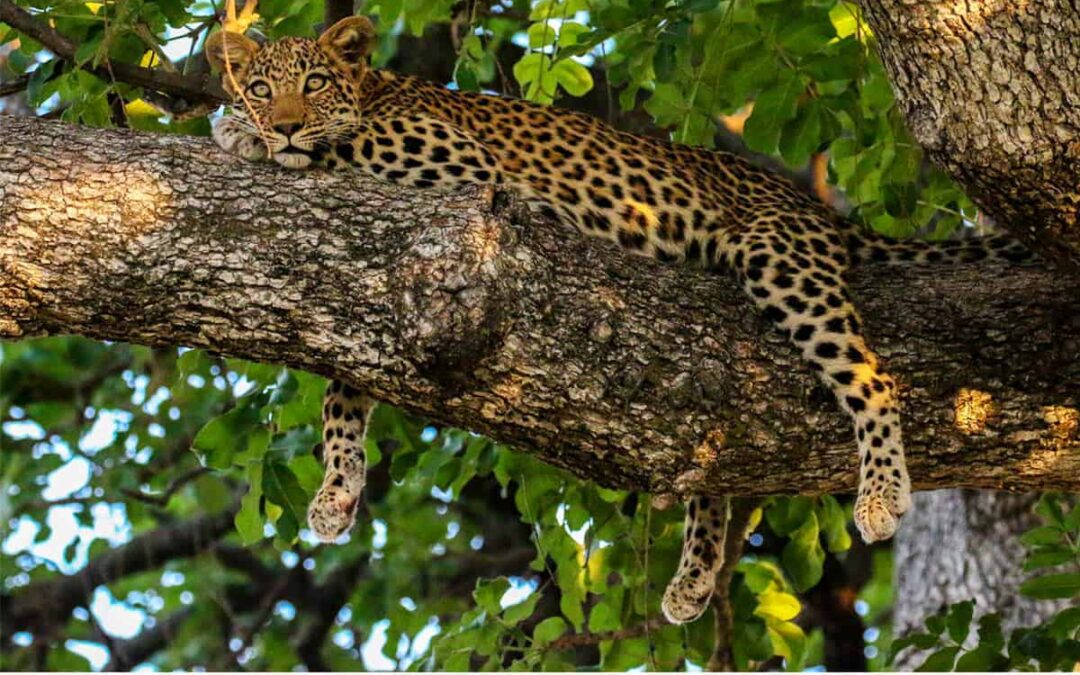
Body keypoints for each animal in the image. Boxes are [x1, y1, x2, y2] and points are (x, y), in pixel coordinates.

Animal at [204, 17, 1031, 625]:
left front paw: (238, 133)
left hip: (778, 256)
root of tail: (812, 207)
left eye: (313, 84)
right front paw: (337, 488)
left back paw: (882, 493)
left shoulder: (451, 164)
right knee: (717, 457)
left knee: (872, 376)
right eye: (263, 85)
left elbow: (341, 143)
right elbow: (343, 392)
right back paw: (694, 577)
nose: (282, 124)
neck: (375, 86)